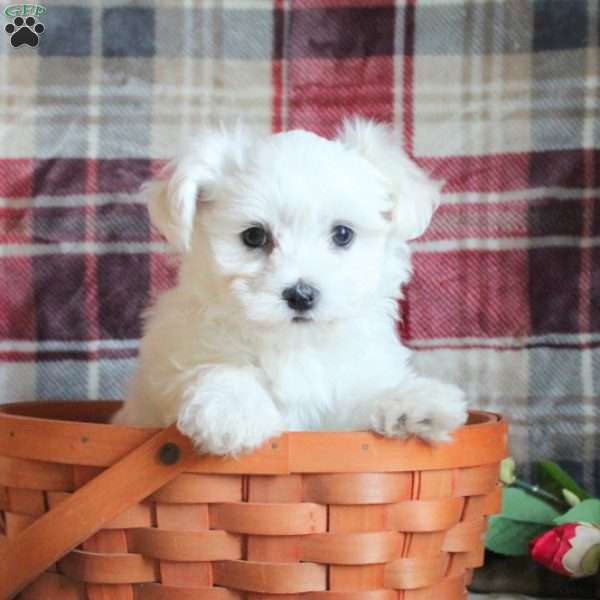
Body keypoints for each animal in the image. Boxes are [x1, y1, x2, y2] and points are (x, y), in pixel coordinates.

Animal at [113, 117, 468, 454]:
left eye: (342, 234)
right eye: (254, 236)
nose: (301, 295)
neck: (295, 346)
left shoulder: (343, 404)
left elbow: (359, 404)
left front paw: (411, 403)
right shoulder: (173, 364)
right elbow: (216, 368)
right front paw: (233, 410)